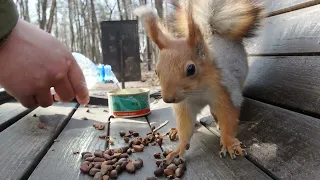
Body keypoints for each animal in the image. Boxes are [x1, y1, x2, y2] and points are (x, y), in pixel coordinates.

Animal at [134, 0, 264, 162]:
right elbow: (186, 124)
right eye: (156, 71)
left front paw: (229, 143)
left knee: (215, 112)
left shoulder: (225, 92)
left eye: (191, 69)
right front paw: (179, 148)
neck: (196, 91)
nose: (168, 99)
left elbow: (228, 117)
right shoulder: (185, 105)